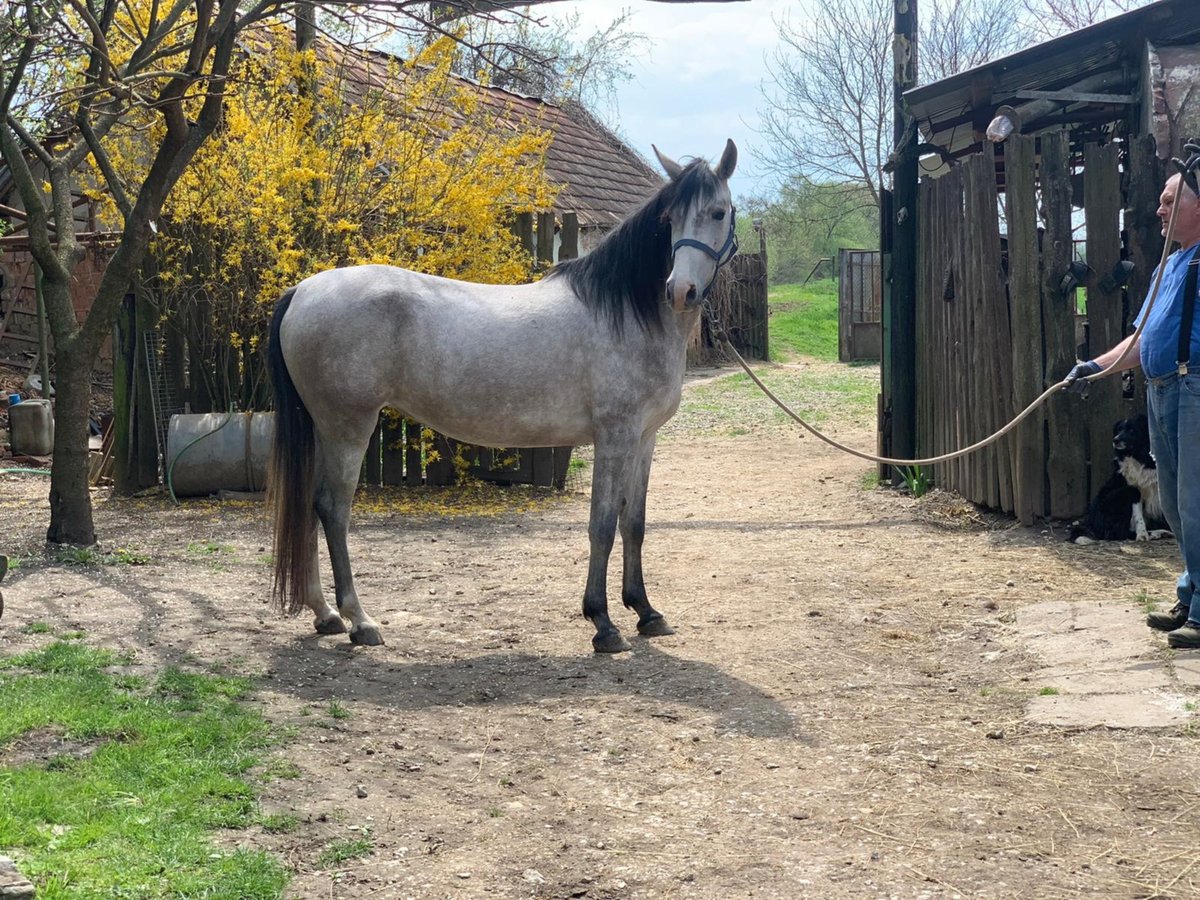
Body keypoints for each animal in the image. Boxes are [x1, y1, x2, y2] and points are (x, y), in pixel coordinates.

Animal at [271, 137, 734, 652]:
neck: (627, 312)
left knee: (309, 507)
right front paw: (603, 623)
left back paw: (325, 613)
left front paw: (646, 612)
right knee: (333, 510)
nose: (680, 290)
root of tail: (302, 290)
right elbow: (602, 525)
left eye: (718, 212)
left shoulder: (644, 438)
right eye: (671, 219)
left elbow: (634, 523)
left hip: (323, 427)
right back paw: (360, 620)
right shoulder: (614, 437)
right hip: (348, 426)